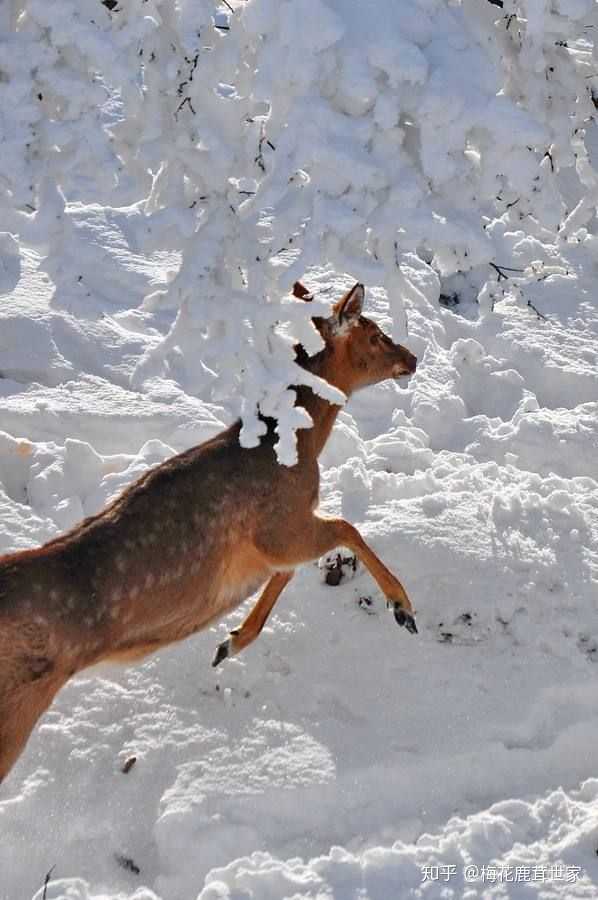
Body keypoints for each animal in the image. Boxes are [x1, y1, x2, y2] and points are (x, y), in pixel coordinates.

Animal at [0, 280, 420, 780]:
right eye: (375, 334)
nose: (413, 357)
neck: (296, 443)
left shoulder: (268, 545)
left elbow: (286, 571)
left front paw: (230, 642)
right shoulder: (277, 522)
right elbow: (344, 528)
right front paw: (403, 607)